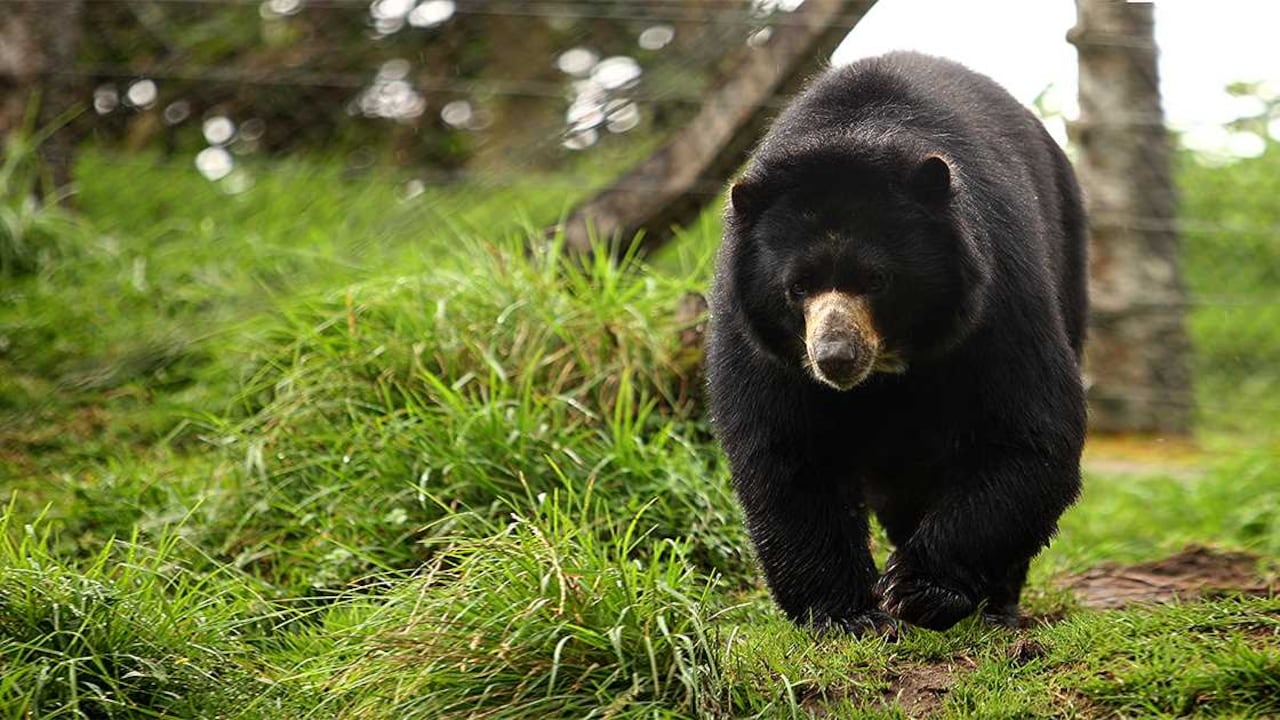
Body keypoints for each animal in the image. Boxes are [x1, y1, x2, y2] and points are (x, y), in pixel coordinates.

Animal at [707, 51, 1087, 634]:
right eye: (798, 288)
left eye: (876, 280)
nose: (835, 358)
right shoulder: (757, 337)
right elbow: (787, 451)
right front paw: (846, 614)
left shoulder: (999, 296)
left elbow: (1028, 432)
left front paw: (916, 590)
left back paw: (999, 607)